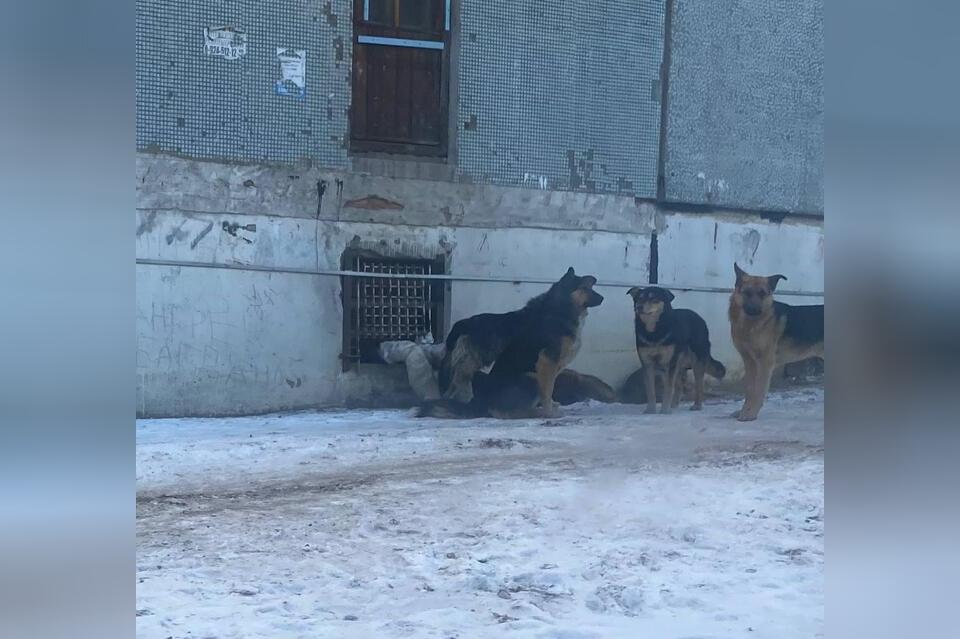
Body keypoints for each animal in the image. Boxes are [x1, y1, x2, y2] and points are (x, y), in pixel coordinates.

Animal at [418, 266, 600, 420]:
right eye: (586, 287)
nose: (603, 298)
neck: (559, 308)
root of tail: (462, 324)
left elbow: (550, 388)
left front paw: (553, 405)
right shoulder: (547, 362)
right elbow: (547, 390)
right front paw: (550, 412)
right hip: (512, 373)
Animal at [628, 286, 724, 416]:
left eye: (653, 298)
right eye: (639, 298)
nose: (638, 307)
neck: (654, 332)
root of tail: (699, 318)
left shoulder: (669, 363)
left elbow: (668, 389)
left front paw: (664, 411)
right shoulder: (648, 364)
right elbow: (651, 390)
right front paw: (651, 410)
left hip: (695, 361)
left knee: (699, 385)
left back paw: (697, 405)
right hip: (674, 365)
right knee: (679, 386)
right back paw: (673, 406)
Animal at [728, 262, 824, 422]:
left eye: (763, 293)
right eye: (747, 292)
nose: (754, 310)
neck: (750, 325)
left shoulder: (764, 363)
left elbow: (758, 390)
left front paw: (750, 414)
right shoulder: (749, 362)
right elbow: (749, 389)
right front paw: (743, 411)